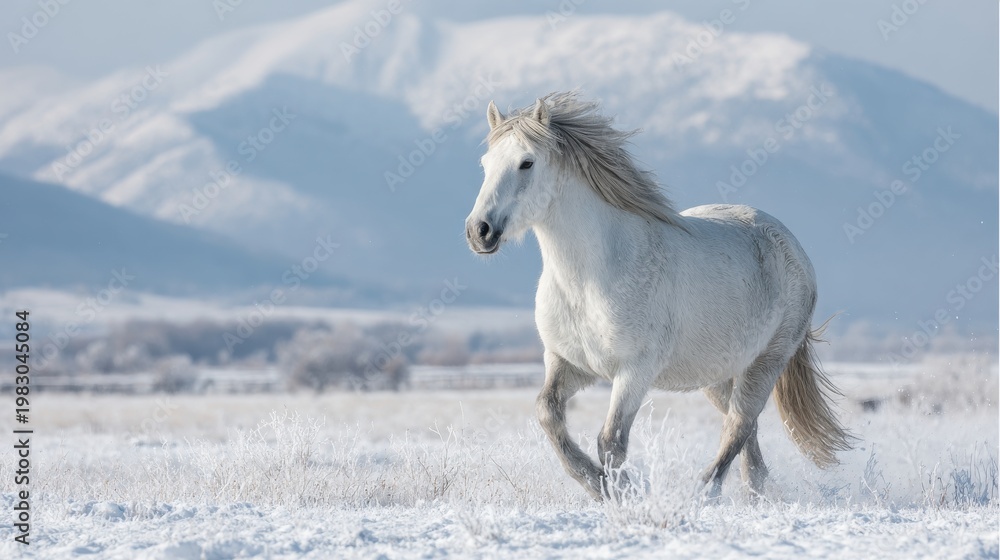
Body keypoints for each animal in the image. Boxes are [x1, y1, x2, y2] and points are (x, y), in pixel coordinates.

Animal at [464, 92, 854, 501]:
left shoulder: (635, 371)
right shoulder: (567, 364)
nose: (480, 231)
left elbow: (611, 441)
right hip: (716, 375)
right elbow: (547, 413)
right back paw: (753, 493)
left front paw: (624, 493)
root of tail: (789, 242)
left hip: (766, 362)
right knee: (746, 431)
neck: (590, 279)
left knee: (739, 423)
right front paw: (595, 484)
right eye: (486, 164)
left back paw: (704, 493)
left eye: (526, 162)